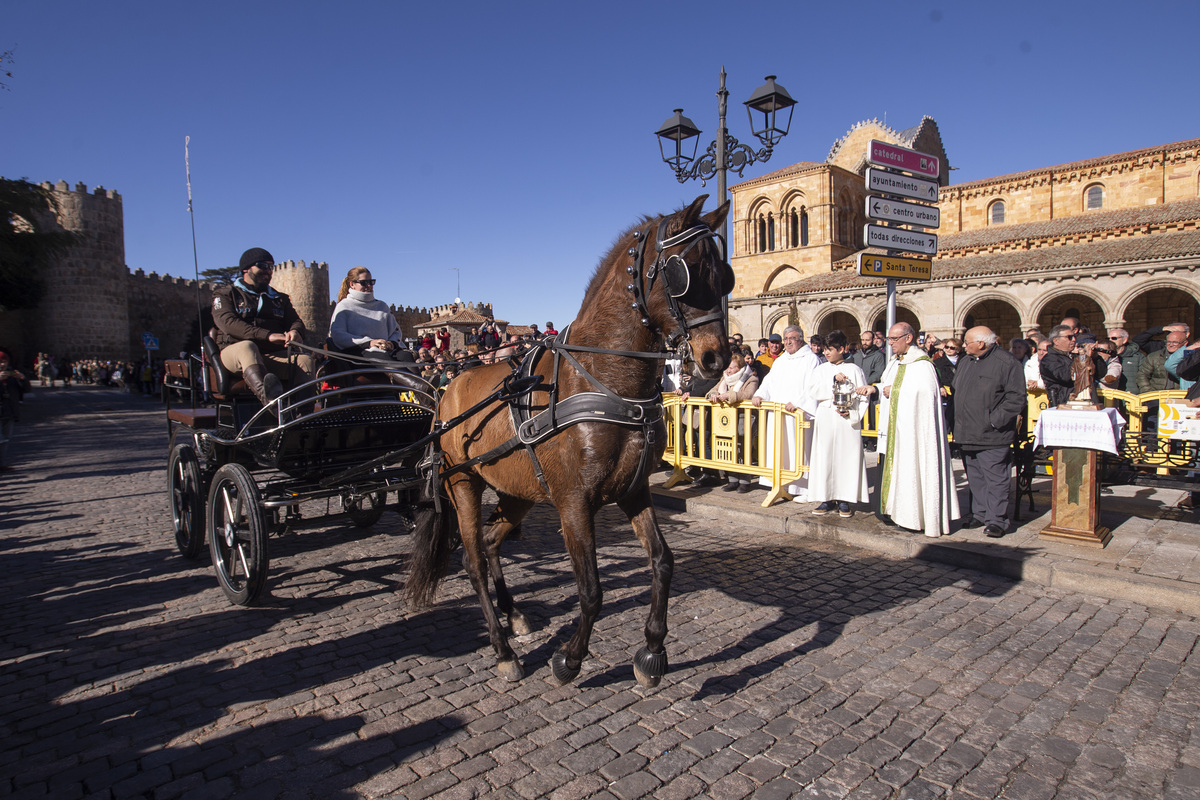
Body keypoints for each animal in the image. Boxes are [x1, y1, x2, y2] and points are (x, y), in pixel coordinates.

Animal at [403, 195, 729, 690]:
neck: (605, 380)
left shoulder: (633, 489)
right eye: (685, 271)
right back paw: (502, 649)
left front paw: (653, 649)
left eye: (724, 273)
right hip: (462, 484)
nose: (717, 358)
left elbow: (663, 561)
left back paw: (514, 615)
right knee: (473, 560)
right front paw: (570, 659)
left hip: (518, 489)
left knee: (493, 542)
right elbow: (591, 589)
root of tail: (446, 392)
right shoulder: (574, 501)